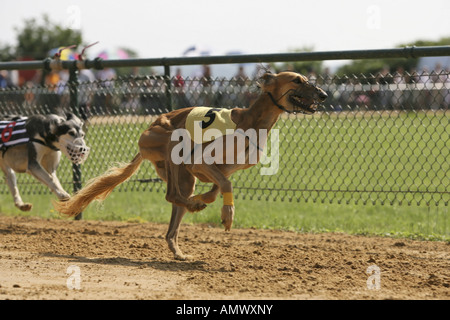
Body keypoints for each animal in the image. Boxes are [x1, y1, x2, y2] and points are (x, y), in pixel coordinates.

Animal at [54, 71, 326, 258]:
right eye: (297, 80)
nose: (323, 94)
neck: (251, 122)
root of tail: (147, 129)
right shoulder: (200, 162)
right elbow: (225, 185)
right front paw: (227, 215)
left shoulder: (219, 170)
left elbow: (219, 188)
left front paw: (207, 201)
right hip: (173, 143)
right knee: (171, 194)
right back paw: (193, 206)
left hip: (183, 175)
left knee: (174, 213)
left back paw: (180, 247)